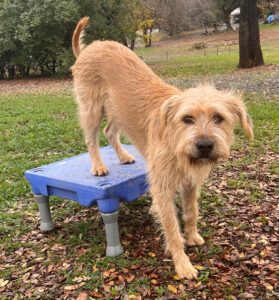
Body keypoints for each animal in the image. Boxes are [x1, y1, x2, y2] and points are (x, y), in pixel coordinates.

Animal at [71, 16, 255, 278]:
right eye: (187, 118)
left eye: (218, 118)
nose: (205, 145)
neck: (176, 143)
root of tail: (91, 47)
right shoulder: (164, 188)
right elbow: (171, 226)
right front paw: (182, 263)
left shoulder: (190, 183)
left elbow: (191, 211)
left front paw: (193, 236)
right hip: (92, 108)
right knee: (91, 138)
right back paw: (98, 165)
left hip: (117, 110)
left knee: (109, 132)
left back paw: (124, 155)